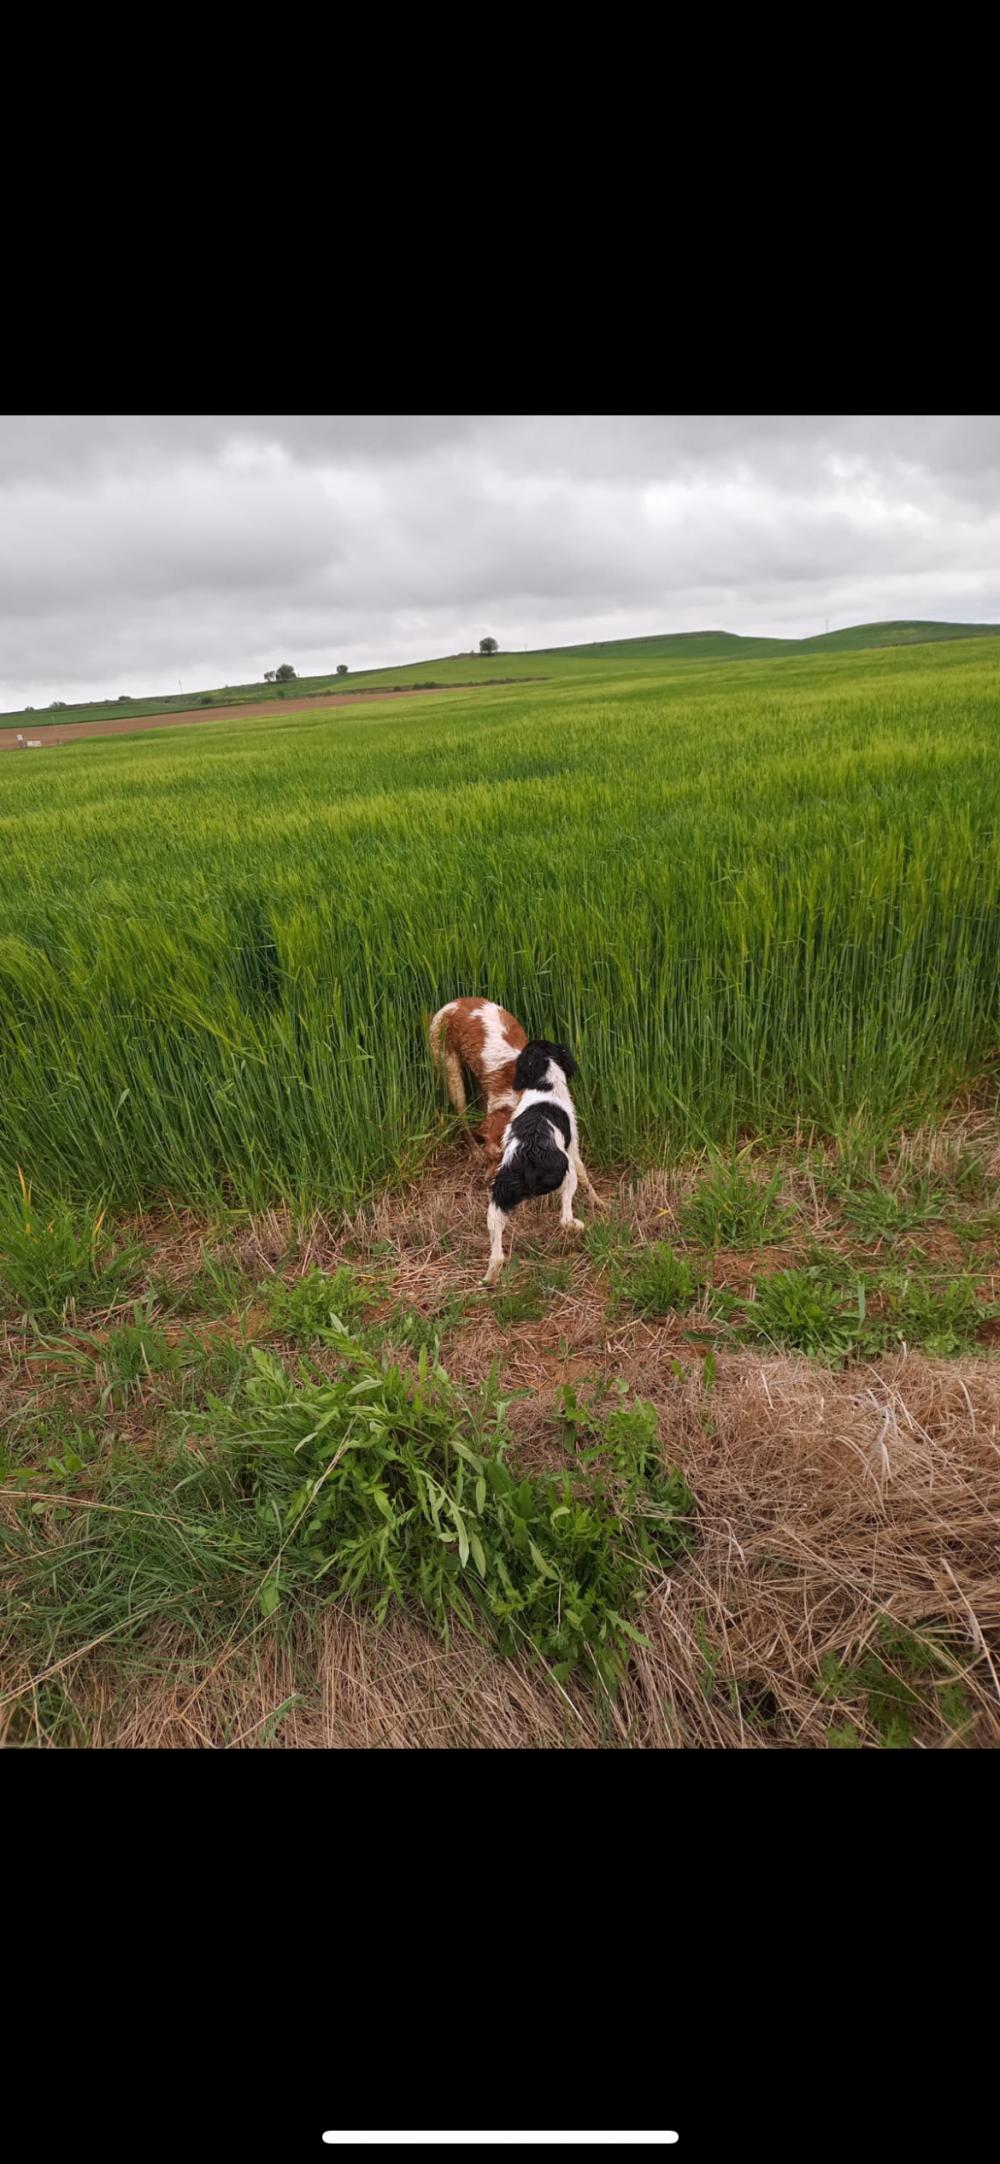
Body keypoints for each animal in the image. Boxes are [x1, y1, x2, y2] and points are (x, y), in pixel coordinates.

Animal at [484, 1034, 601, 1272]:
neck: (544, 1087)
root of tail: (528, 1158)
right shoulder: (573, 1144)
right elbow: (585, 1175)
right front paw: (597, 1200)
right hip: (567, 1173)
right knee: (565, 1218)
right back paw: (579, 1226)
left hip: (499, 1193)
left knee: (496, 1254)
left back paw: (491, 1275)